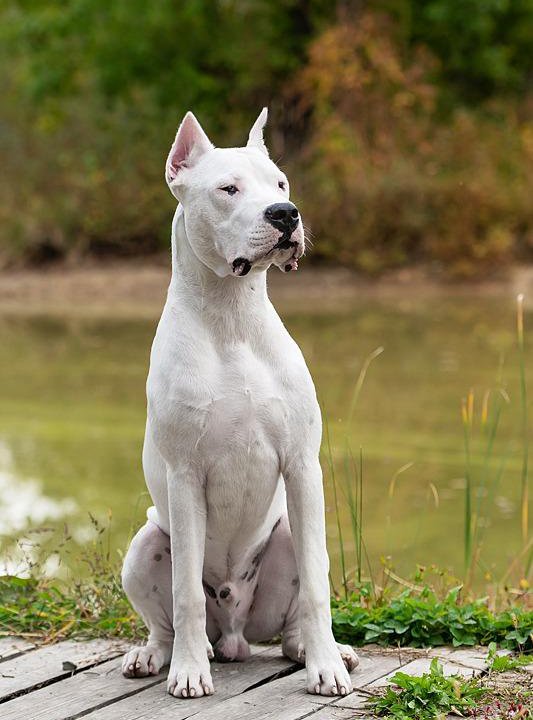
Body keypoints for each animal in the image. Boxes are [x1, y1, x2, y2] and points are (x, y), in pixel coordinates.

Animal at [121, 107, 358, 696]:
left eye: (281, 184)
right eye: (228, 189)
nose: (285, 215)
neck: (232, 316)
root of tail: (236, 634)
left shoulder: (302, 466)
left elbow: (318, 584)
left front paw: (327, 666)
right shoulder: (185, 477)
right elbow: (184, 592)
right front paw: (188, 672)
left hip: (289, 533)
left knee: (292, 623)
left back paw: (317, 651)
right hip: (144, 544)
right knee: (169, 619)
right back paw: (159, 655)